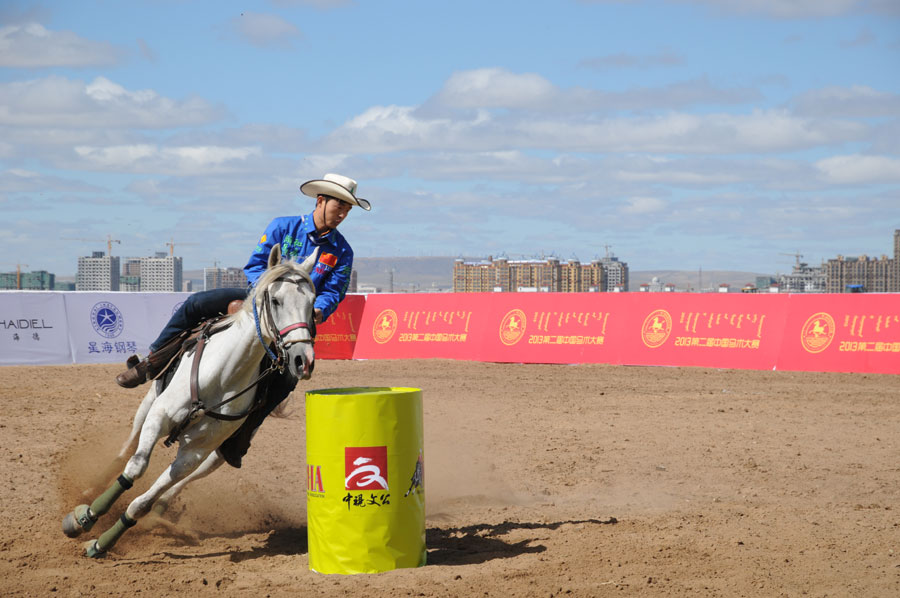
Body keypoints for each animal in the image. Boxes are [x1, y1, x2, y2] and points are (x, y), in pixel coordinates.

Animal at [62, 246, 316, 560]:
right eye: (276, 300)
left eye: (313, 304)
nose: (303, 360)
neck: (223, 375)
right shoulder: (159, 415)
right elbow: (135, 467)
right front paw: (84, 518)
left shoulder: (195, 452)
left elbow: (143, 502)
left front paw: (102, 542)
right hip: (150, 400)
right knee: (129, 446)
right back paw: (92, 488)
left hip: (220, 454)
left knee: (186, 478)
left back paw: (161, 512)